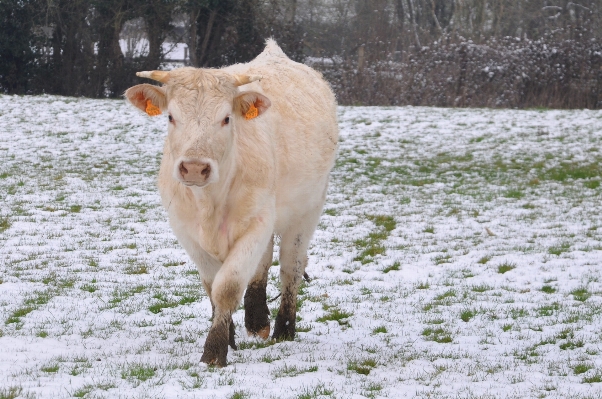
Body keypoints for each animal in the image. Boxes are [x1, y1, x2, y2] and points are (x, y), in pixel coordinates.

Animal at [123, 39, 338, 368]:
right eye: (171, 117)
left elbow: (228, 286)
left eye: (226, 118)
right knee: (264, 263)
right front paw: (230, 337)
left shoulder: (258, 222)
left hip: (307, 209)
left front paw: (214, 351)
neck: (209, 202)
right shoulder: (185, 229)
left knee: (291, 266)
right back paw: (257, 320)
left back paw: (283, 329)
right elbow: (212, 285)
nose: (195, 168)